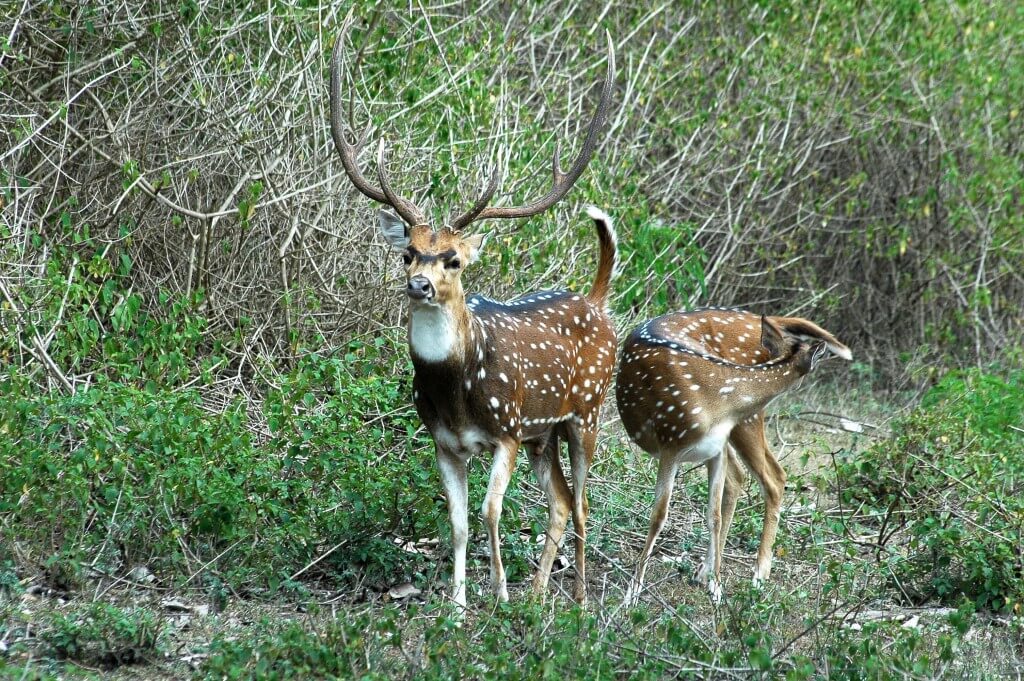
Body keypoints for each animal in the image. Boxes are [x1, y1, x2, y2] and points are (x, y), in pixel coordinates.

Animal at [329, 27, 614, 610]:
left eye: (454, 259)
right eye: (408, 252)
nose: (419, 285)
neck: (458, 392)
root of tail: (597, 303)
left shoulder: (506, 430)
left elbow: (490, 511)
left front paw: (497, 593)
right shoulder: (443, 440)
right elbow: (458, 522)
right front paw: (459, 605)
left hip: (587, 412)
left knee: (581, 504)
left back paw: (575, 600)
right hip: (543, 433)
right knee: (559, 502)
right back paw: (537, 595)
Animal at [610, 307, 851, 602]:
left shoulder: (714, 448)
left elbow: (713, 515)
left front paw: (717, 588)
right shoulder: (670, 443)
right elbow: (659, 516)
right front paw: (632, 592)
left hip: (743, 427)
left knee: (768, 477)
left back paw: (741, 574)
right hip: (740, 428)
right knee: (758, 477)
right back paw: (744, 574)